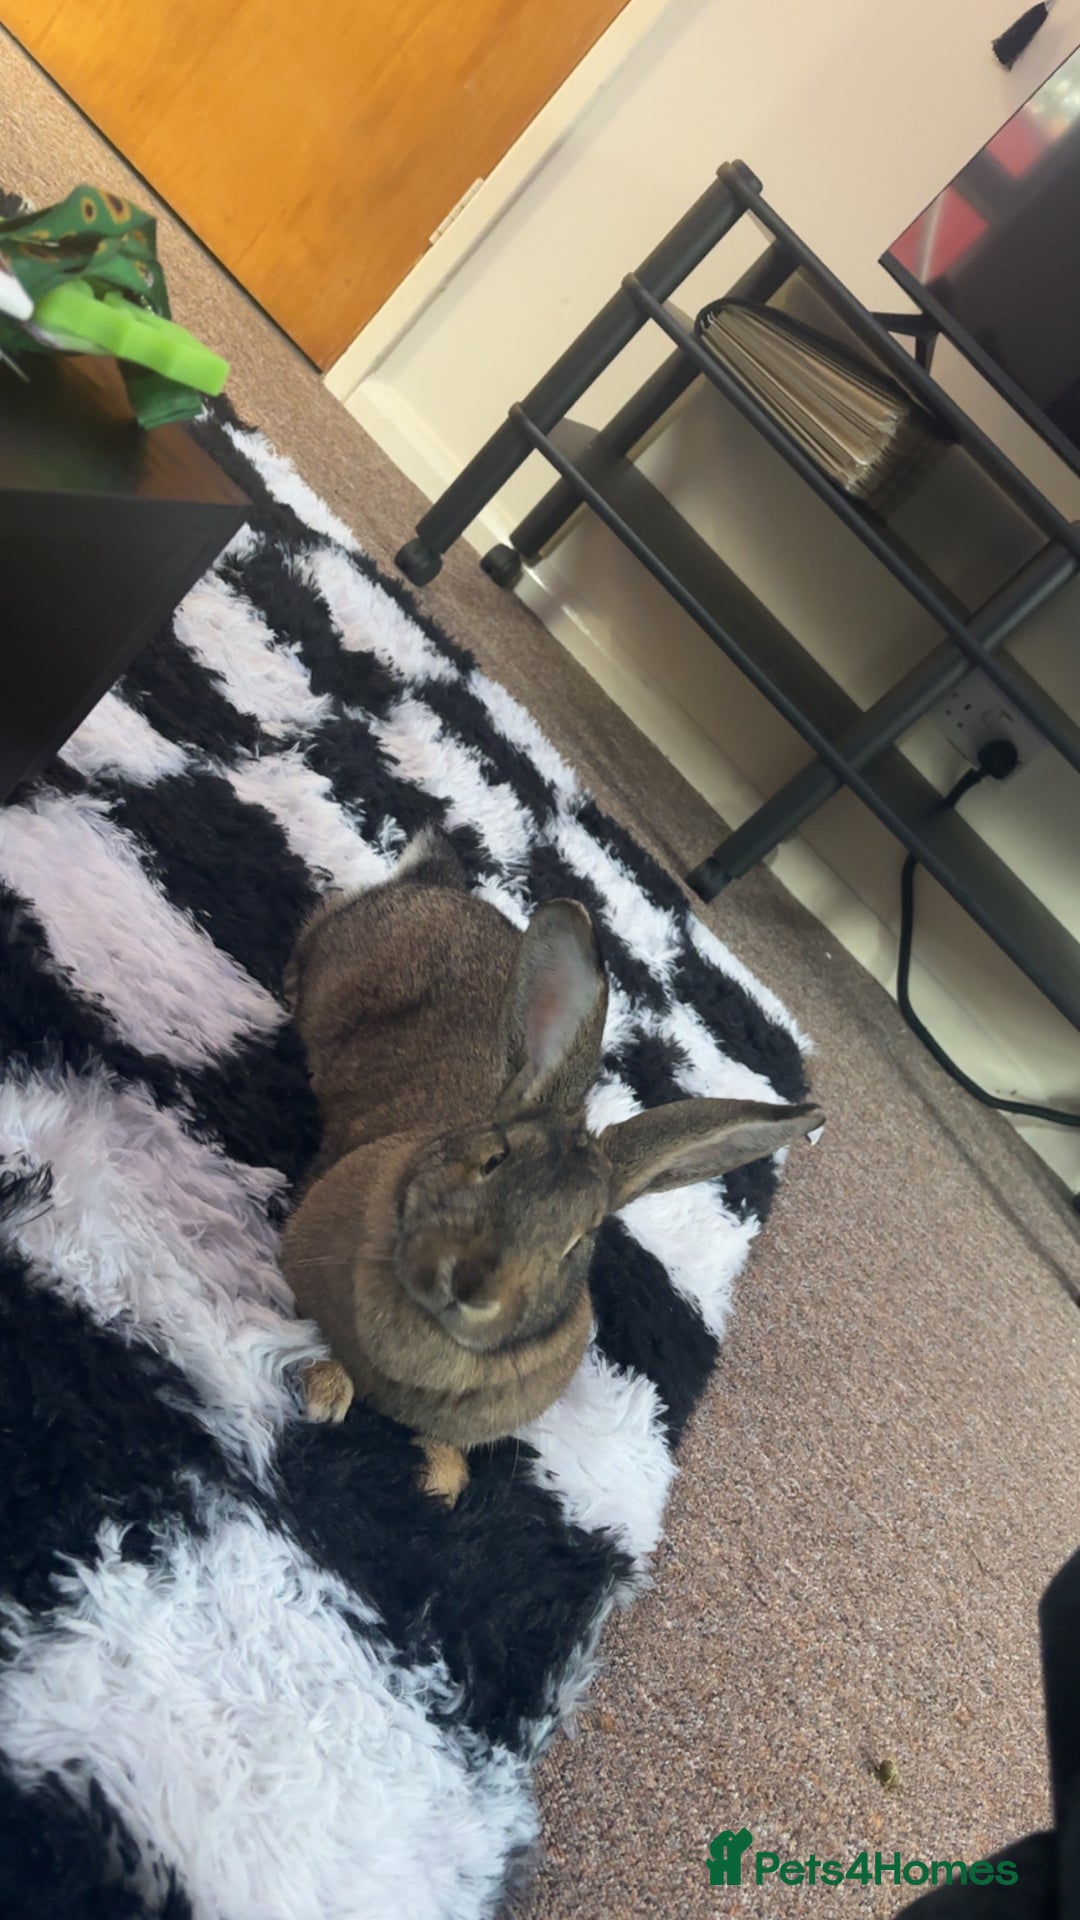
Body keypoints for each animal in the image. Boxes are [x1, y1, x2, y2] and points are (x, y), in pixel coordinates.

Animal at [282, 825, 824, 1504]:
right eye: (494, 1160)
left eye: (578, 1240)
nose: (471, 1284)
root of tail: (436, 887)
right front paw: (327, 1391)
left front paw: (440, 1482)